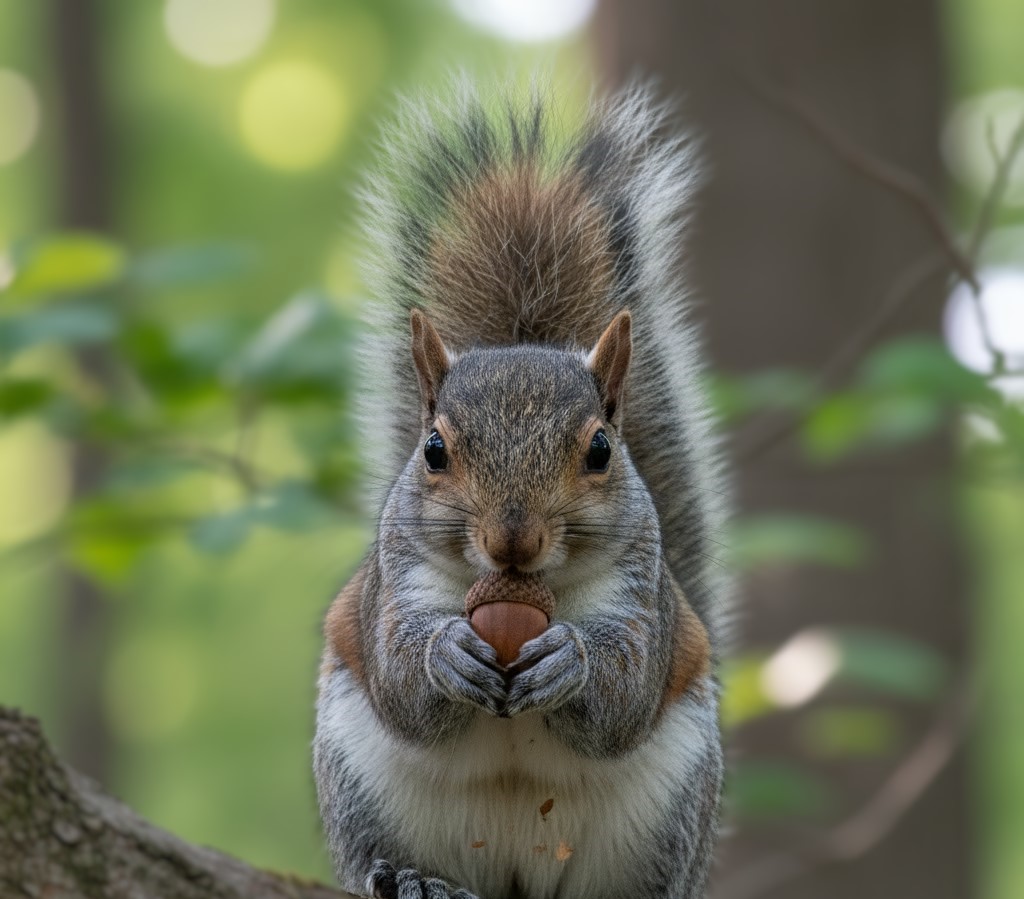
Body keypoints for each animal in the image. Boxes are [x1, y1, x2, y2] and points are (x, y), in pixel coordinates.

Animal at [313, 84, 730, 899]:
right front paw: (446, 653)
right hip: (357, 782)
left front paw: (571, 660)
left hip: (670, 813)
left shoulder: (643, 598)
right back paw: (414, 879)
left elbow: (624, 693)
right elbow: (400, 672)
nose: (514, 538)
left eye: (601, 451)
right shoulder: (394, 582)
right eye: (434, 450)